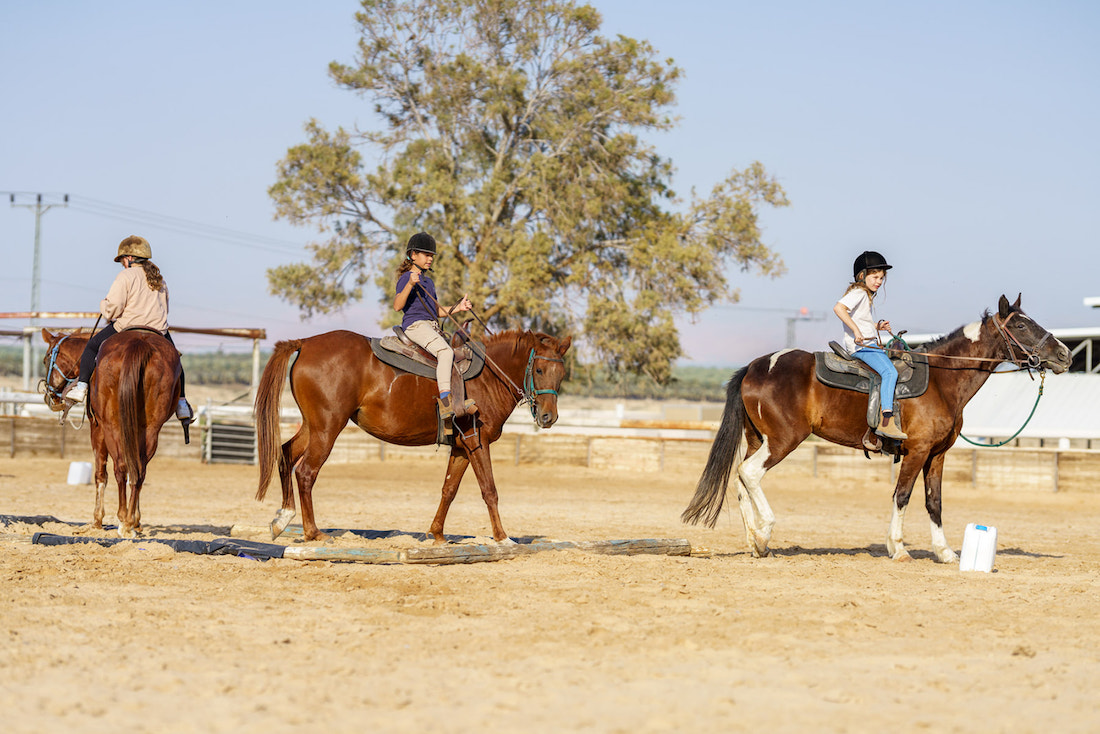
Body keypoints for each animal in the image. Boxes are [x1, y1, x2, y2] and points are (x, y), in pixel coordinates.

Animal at [41, 330, 184, 537]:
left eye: (46, 359)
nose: (50, 395)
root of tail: (139, 344)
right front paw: (137, 521)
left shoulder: (97, 428)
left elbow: (100, 473)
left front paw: (97, 520)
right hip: (150, 429)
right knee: (139, 470)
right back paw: (129, 521)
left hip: (112, 426)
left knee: (120, 468)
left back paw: (123, 520)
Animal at [251, 330, 572, 543]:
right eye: (539, 369)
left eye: (561, 374)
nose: (548, 418)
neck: (487, 378)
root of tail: (305, 342)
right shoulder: (476, 441)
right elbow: (489, 490)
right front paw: (503, 538)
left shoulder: (460, 447)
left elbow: (449, 490)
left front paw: (436, 535)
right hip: (328, 428)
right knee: (306, 471)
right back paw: (313, 533)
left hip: (313, 426)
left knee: (286, 454)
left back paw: (282, 519)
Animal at [682, 294, 1069, 567]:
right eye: (1021, 327)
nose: (1064, 354)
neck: (942, 380)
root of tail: (755, 366)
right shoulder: (917, 451)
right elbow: (902, 496)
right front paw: (898, 548)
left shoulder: (937, 455)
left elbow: (934, 502)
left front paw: (945, 553)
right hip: (781, 441)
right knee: (749, 474)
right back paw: (764, 534)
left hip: (757, 439)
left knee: (741, 480)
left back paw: (754, 542)